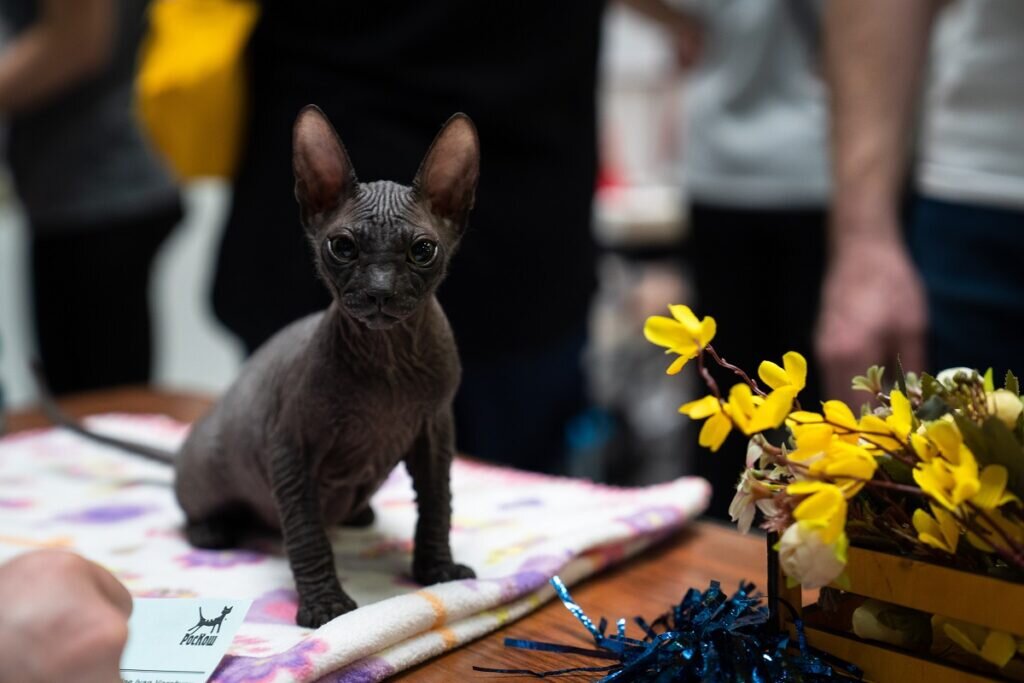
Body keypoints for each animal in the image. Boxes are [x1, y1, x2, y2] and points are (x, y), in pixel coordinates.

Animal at [35, 108, 475, 630]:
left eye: (422, 250)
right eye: (343, 247)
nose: (380, 291)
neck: (387, 363)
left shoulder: (435, 433)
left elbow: (437, 506)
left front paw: (439, 571)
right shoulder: (287, 447)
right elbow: (306, 533)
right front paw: (325, 606)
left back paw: (358, 514)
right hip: (213, 473)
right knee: (200, 510)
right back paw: (215, 528)